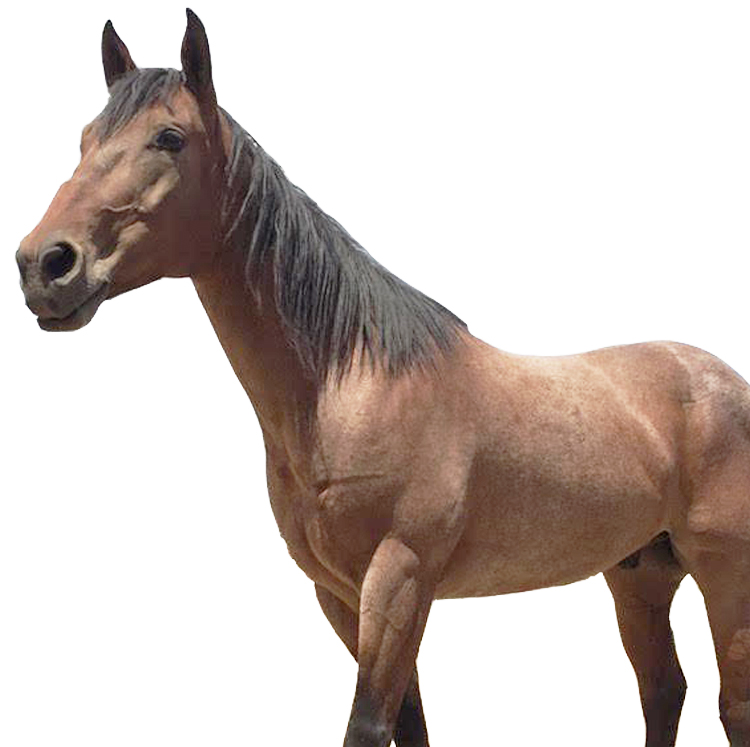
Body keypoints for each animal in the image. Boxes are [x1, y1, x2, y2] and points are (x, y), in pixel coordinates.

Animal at [16, 10, 750, 746]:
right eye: (85, 138)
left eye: (168, 137)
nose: (44, 264)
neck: (351, 389)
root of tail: (722, 381)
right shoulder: (339, 593)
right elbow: (407, 721)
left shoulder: (400, 577)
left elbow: (367, 724)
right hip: (639, 574)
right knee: (663, 690)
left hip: (721, 573)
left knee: (729, 705)